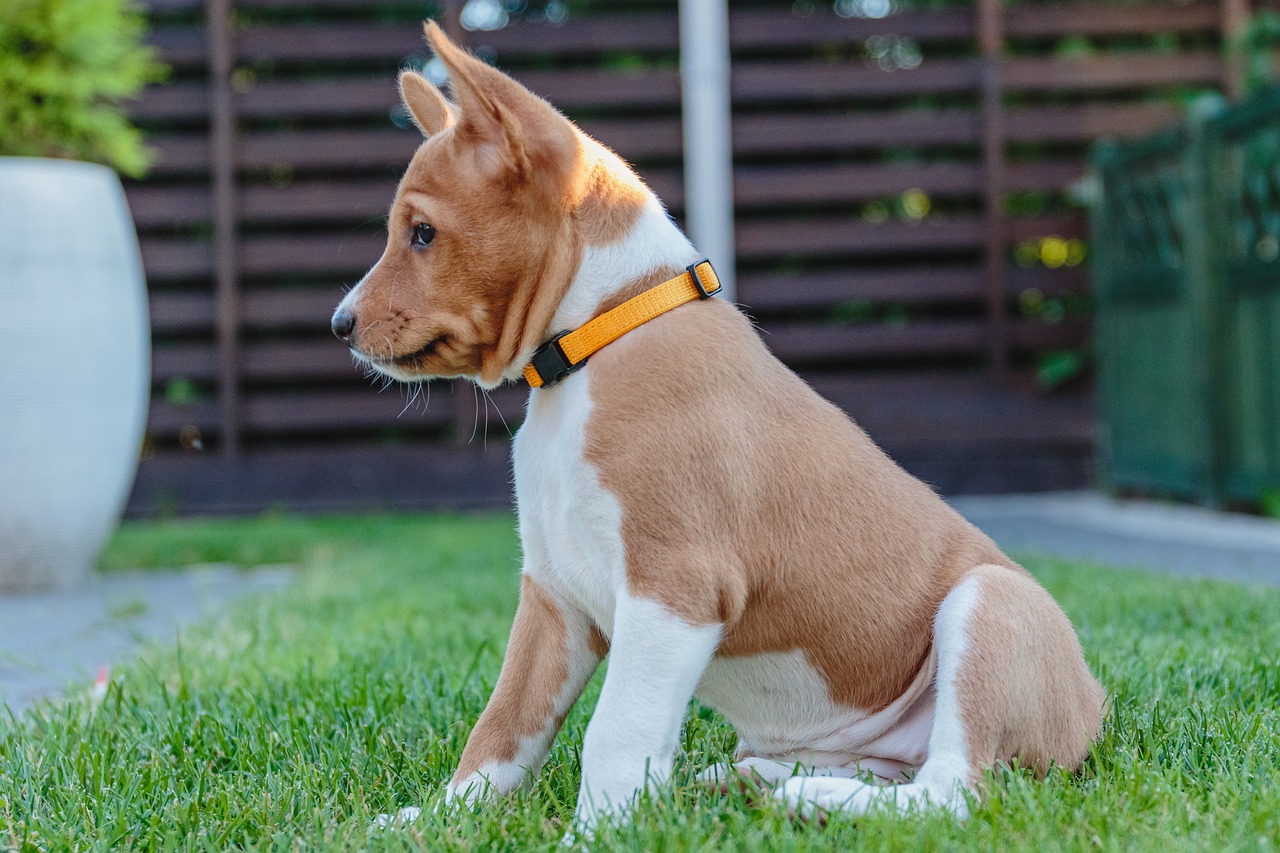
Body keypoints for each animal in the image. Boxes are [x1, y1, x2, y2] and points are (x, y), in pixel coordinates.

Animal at [335, 23, 1105, 835]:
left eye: (422, 234)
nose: (338, 325)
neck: (599, 339)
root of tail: (1094, 708)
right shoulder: (555, 599)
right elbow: (502, 729)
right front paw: (438, 819)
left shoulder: (674, 589)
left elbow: (614, 732)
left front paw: (595, 836)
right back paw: (758, 784)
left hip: (990, 604)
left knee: (953, 792)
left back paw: (809, 796)